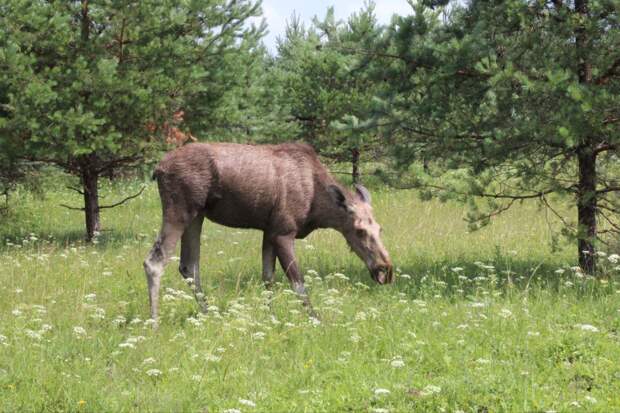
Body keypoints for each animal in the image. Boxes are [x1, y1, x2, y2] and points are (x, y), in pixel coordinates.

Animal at [144, 143, 392, 320]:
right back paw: (154, 322)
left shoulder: (269, 231)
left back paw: (209, 315)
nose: (385, 270)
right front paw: (315, 320)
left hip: (197, 216)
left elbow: (268, 278)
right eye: (359, 230)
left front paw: (270, 319)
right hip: (179, 210)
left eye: (380, 228)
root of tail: (158, 170)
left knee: (189, 266)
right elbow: (297, 282)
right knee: (155, 261)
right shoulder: (283, 232)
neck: (317, 208)